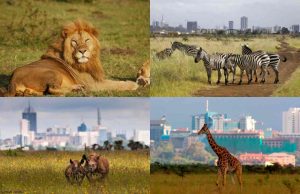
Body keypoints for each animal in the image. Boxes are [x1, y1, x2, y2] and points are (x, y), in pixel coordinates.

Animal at [7, 19, 139, 96]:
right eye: (74, 42)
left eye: (86, 40)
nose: (82, 51)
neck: (89, 62)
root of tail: (13, 79)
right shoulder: (93, 84)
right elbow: (115, 84)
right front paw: (133, 84)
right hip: (53, 73)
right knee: (51, 89)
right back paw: (77, 88)